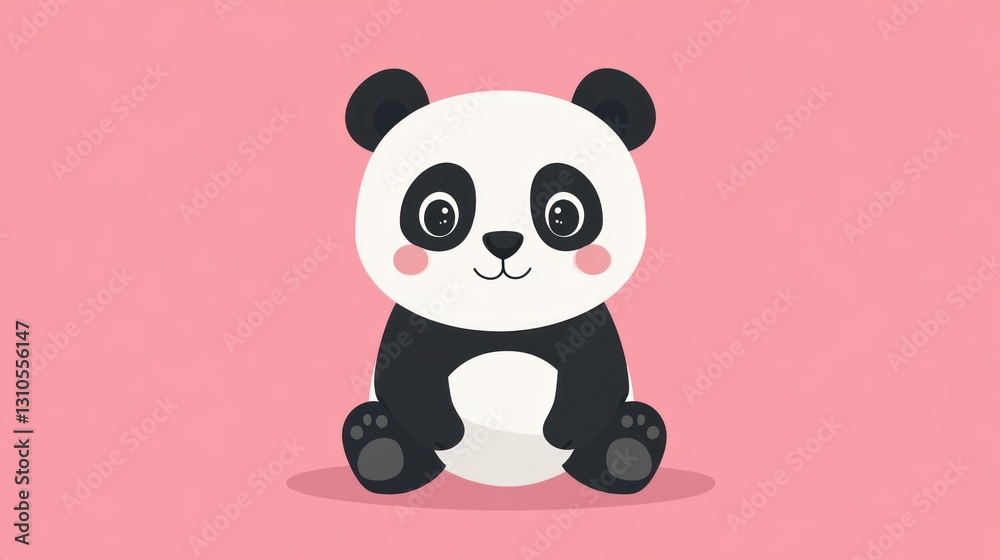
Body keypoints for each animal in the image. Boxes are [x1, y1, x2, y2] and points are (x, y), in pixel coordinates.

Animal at [343, 68, 665, 495]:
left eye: (563, 214)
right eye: (439, 214)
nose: (503, 241)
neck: (502, 321)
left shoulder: (584, 323)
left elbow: (597, 374)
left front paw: (564, 429)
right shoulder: (417, 326)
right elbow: (405, 375)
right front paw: (445, 431)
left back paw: (630, 445)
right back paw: (379, 448)